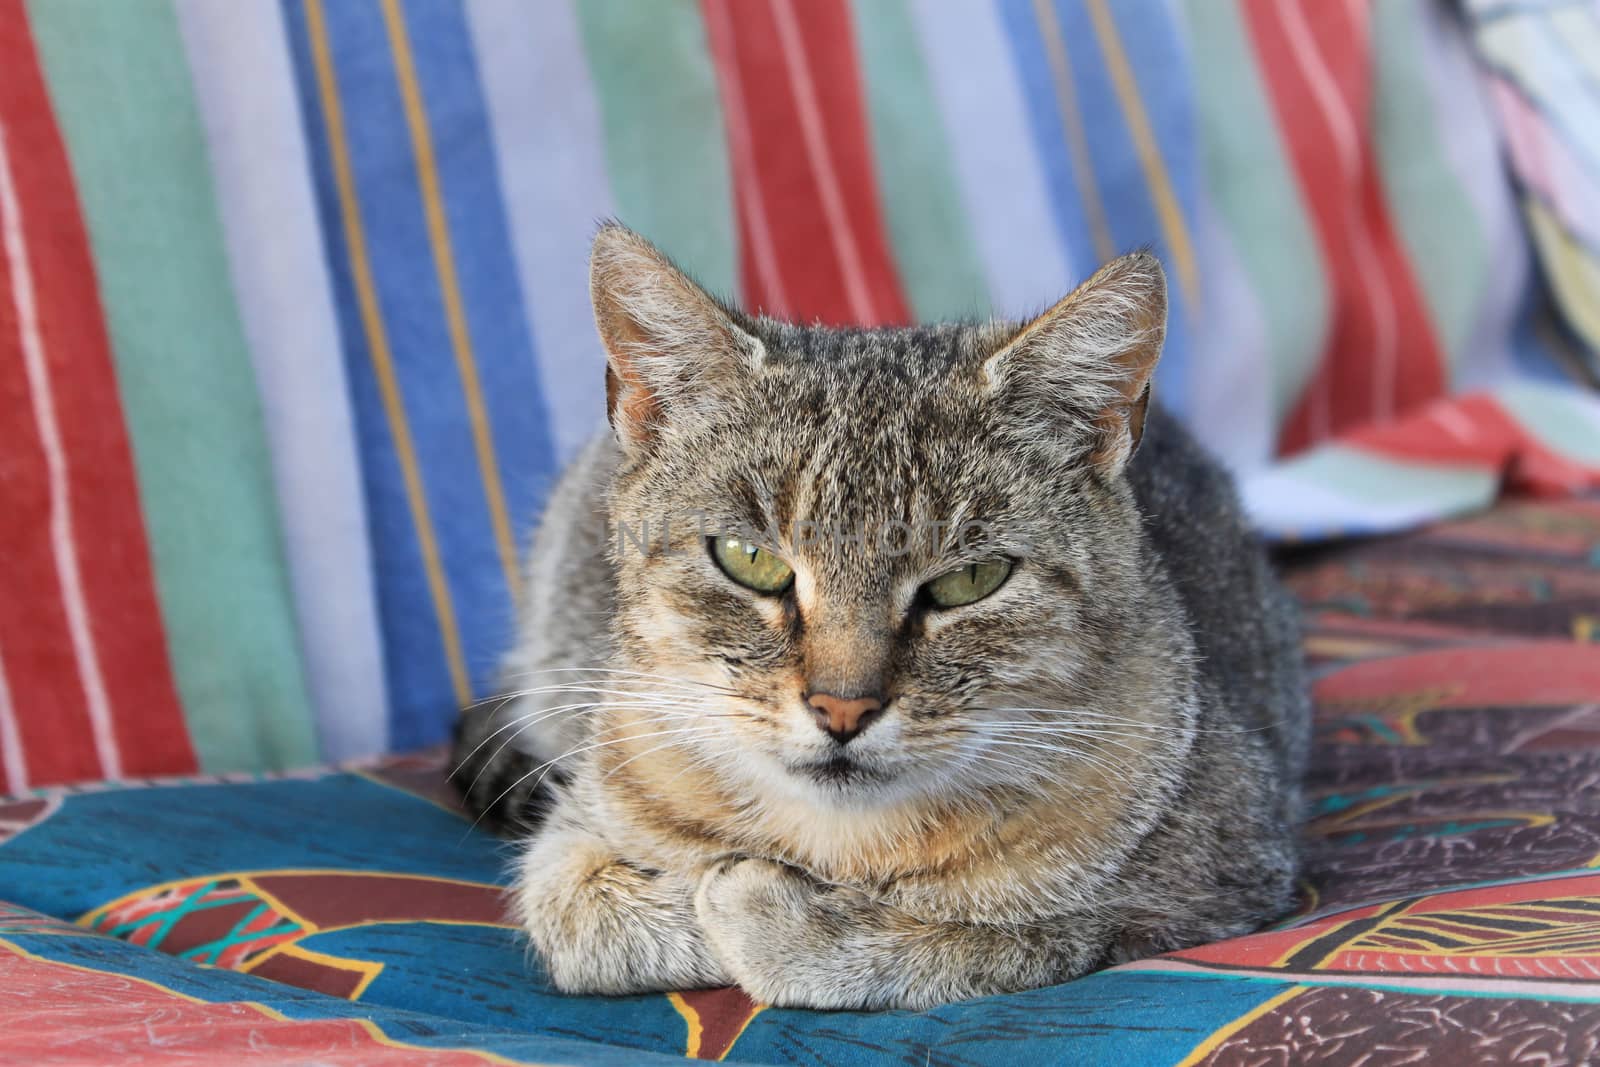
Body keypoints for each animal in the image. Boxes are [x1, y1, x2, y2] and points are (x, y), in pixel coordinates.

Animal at [454, 225, 1312, 1011]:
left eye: (969, 579)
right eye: (750, 558)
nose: (843, 707)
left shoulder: (1209, 890)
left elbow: (979, 938)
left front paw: (769, 910)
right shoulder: (580, 822)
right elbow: (580, 908)